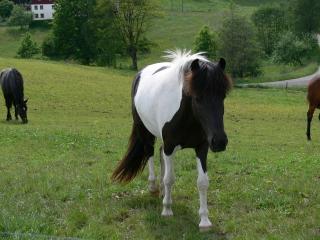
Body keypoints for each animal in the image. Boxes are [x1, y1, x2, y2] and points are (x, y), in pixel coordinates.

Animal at [111, 49, 231, 230]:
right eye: (197, 97)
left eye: (222, 96)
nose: (219, 142)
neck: (186, 115)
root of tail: (140, 72)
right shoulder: (169, 146)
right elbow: (170, 178)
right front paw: (167, 209)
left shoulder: (201, 148)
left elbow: (202, 182)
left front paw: (204, 220)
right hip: (145, 130)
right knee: (150, 153)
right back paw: (154, 187)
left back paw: (161, 190)